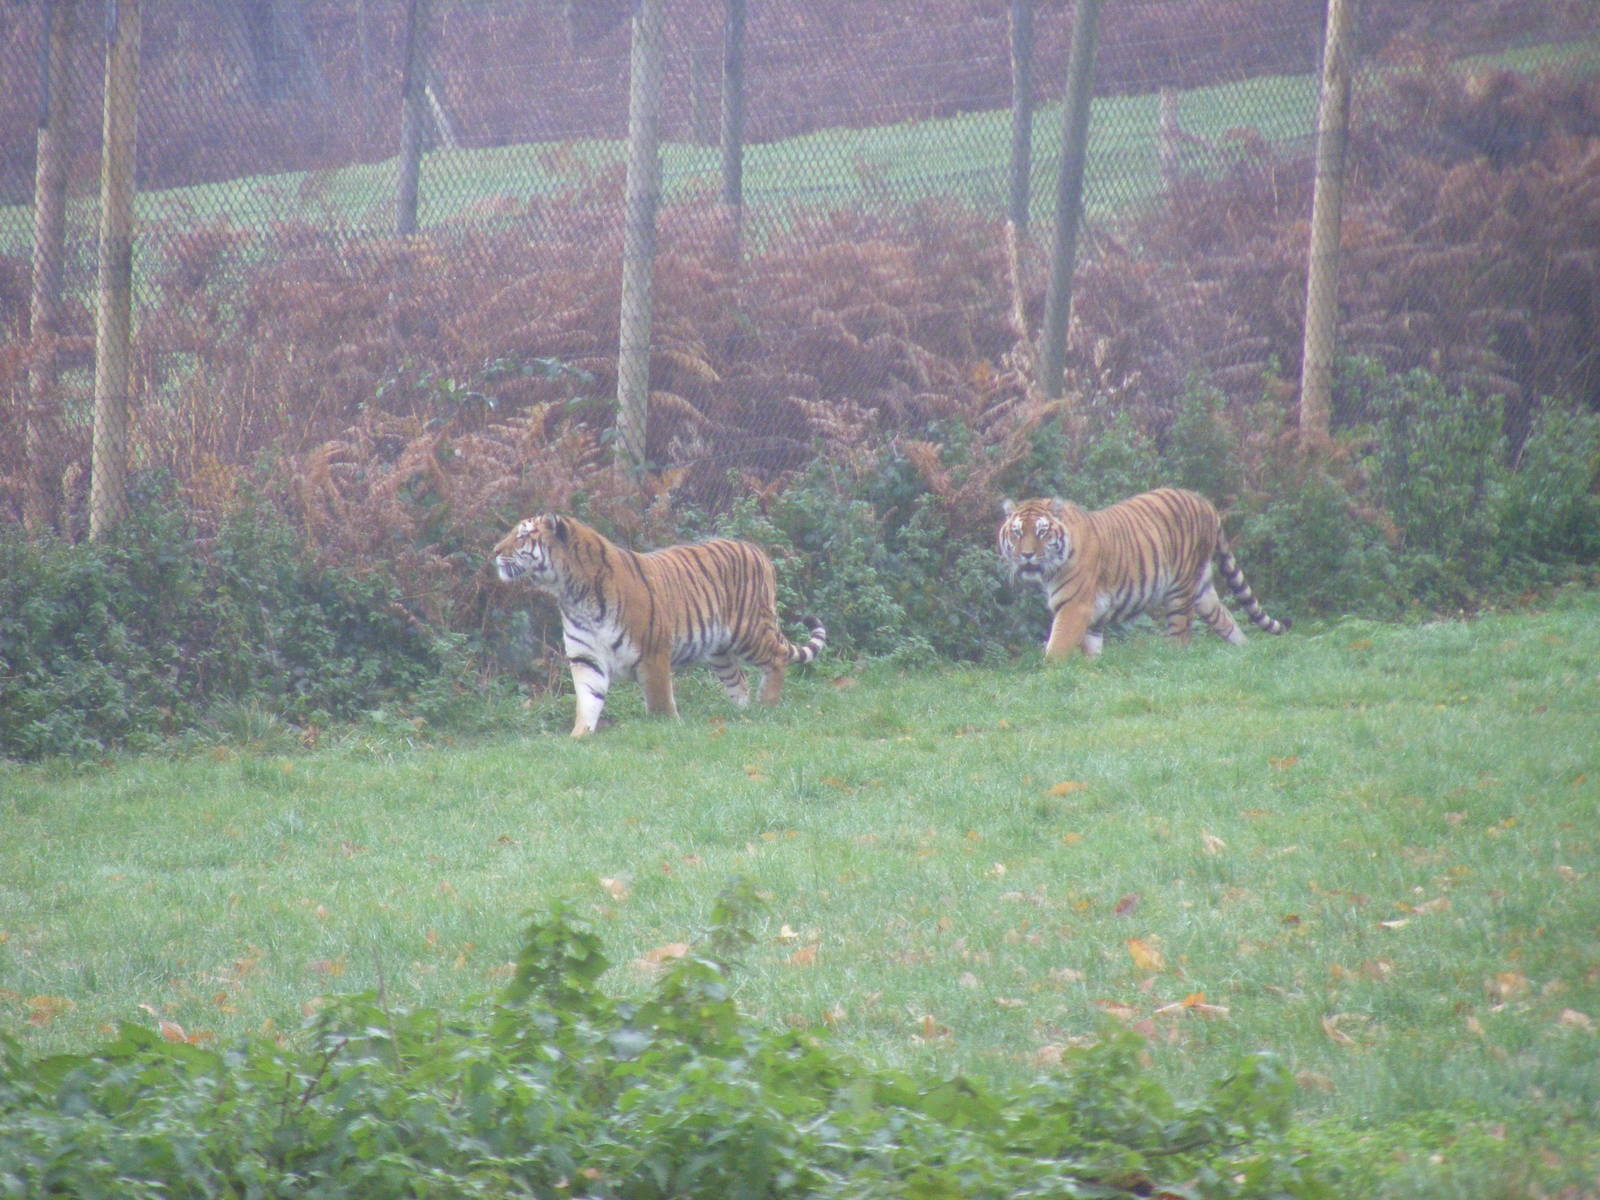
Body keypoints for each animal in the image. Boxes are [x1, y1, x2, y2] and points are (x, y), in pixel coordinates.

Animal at [490, 513, 826, 736]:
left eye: (522, 535)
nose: (493, 551)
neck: (570, 592)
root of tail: (757, 550)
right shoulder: (586, 658)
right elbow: (588, 700)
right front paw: (578, 737)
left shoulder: (652, 652)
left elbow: (659, 700)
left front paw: (667, 729)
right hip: (720, 651)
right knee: (739, 681)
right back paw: (743, 714)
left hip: (749, 631)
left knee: (777, 658)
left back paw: (767, 705)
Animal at [997, 487, 1289, 660]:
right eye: (1018, 532)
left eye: (1042, 532)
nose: (1027, 555)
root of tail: (1204, 501)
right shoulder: (1092, 616)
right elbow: (1091, 651)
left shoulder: (1074, 607)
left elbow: (1056, 647)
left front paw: (1048, 677)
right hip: (1203, 589)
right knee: (1225, 619)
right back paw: (1245, 651)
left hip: (1179, 590)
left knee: (1181, 634)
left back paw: (1172, 662)